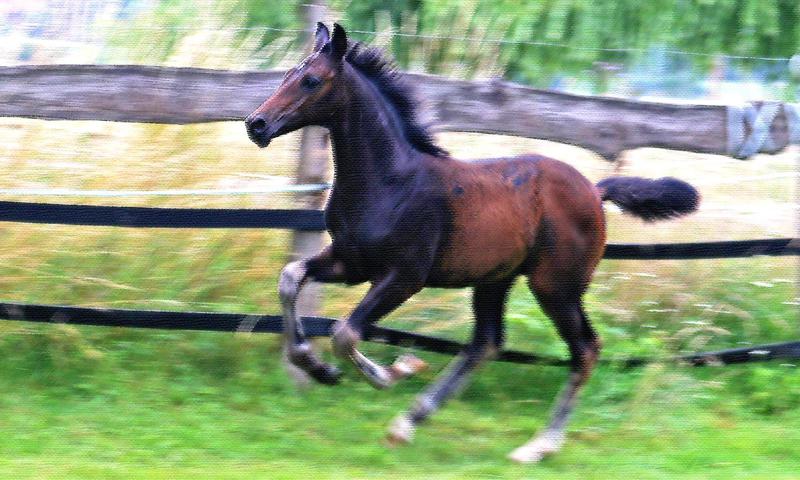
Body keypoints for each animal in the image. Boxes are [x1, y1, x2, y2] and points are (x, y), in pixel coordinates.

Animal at [245, 23, 699, 463]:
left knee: (584, 349)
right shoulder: (350, 263)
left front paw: (395, 372)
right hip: (496, 279)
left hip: (556, 286)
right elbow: (290, 278)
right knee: (487, 343)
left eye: (311, 81)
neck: (390, 180)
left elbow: (345, 333)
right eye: (286, 75)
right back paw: (409, 423)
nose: (256, 124)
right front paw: (319, 368)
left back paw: (539, 446)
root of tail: (594, 189)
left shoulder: (404, 276)